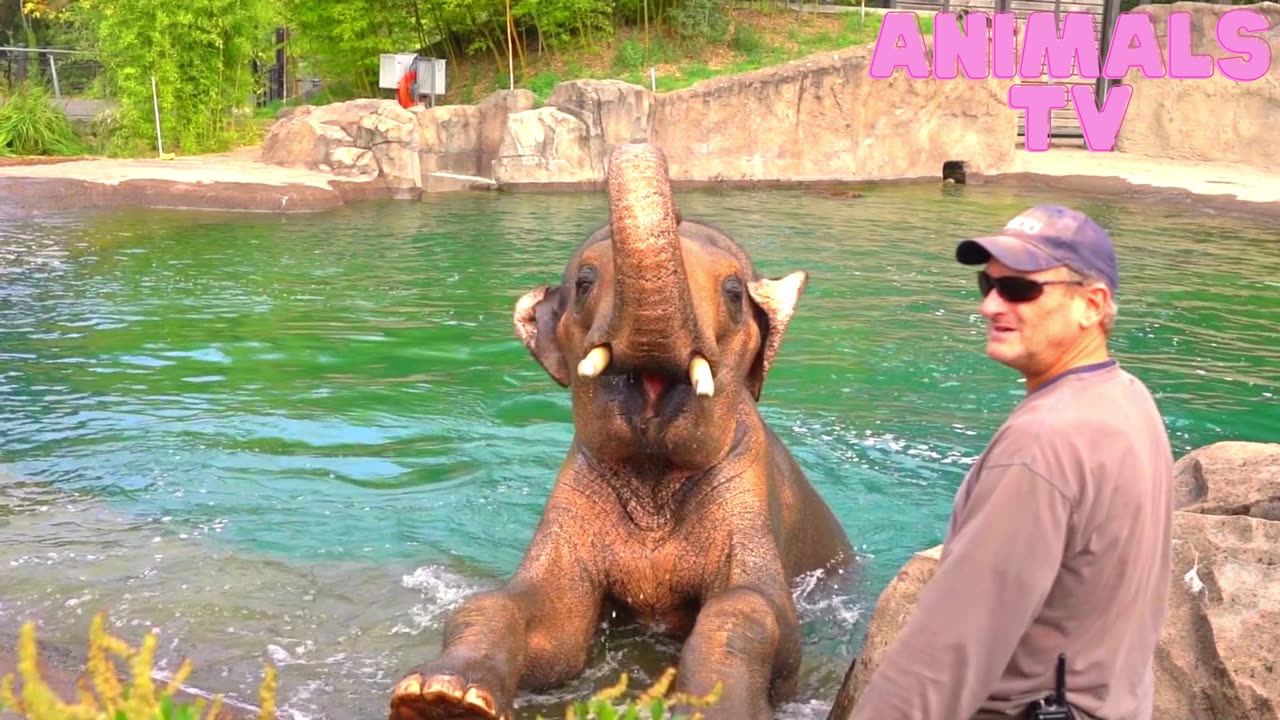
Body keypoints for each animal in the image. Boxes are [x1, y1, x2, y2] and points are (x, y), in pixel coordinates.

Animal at [384, 141, 855, 717]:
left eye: (733, 292)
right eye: (585, 284)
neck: (653, 480)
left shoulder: (749, 496)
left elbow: (754, 610)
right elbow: (547, 623)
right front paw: (441, 698)